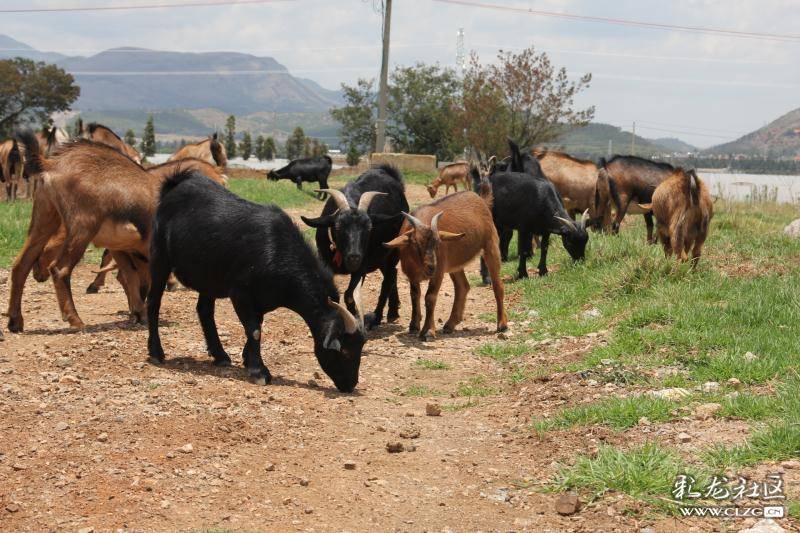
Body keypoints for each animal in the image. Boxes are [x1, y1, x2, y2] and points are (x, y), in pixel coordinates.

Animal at [7, 135, 161, 330]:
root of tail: (51, 164)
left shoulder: (120, 246)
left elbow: (129, 274)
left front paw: (139, 313)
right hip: (82, 227)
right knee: (60, 269)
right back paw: (75, 320)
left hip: (45, 215)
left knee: (21, 264)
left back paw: (15, 321)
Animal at [147, 169, 366, 390]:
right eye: (344, 350)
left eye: (361, 346)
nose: (350, 385)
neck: (278, 252)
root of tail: (175, 184)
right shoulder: (240, 292)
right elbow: (254, 330)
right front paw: (259, 371)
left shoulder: (262, 299)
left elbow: (257, 325)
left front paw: (247, 359)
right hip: (160, 256)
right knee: (154, 301)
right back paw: (156, 352)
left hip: (209, 274)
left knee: (204, 310)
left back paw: (220, 355)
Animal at [302, 164, 410, 328]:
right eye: (338, 226)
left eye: (369, 227)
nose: (354, 257)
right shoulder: (325, 262)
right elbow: (331, 296)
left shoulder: (361, 267)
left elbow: (349, 295)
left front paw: (354, 318)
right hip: (380, 256)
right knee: (392, 274)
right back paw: (393, 311)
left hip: (393, 250)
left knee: (388, 279)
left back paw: (377, 318)